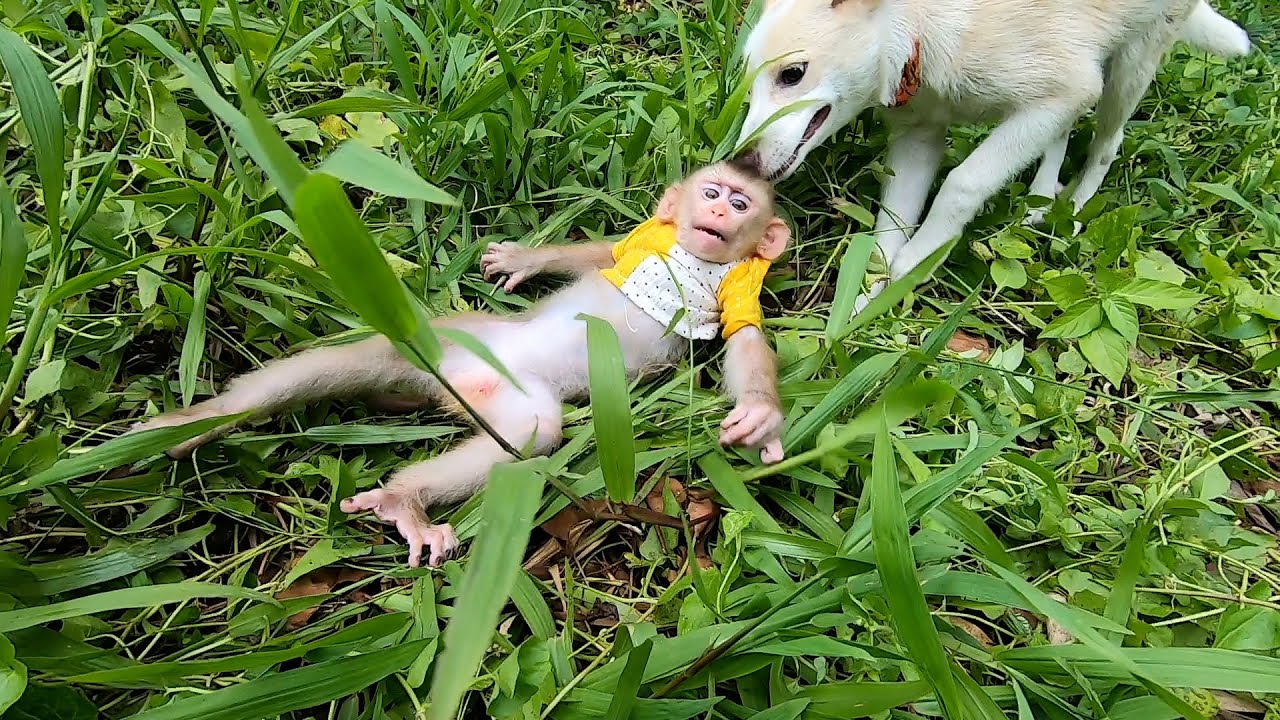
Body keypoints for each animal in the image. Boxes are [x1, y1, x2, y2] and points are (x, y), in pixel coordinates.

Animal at [131, 160, 791, 567]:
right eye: (712, 194)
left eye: (741, 203)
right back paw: (204, 420)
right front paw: (525, 259)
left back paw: (403, 497)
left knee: (534, 429)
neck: (689, 252)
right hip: (451, 334)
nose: (721, 215)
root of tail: (455, 385)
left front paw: (759, 416)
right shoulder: (644, 241)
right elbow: (605, 254)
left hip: (501, 389)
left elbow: (744, 335)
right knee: (344, 361)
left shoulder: (741, 281)